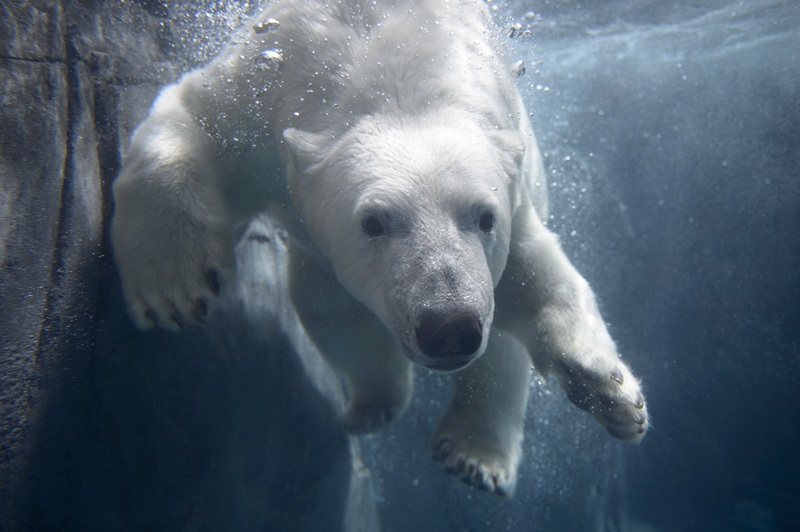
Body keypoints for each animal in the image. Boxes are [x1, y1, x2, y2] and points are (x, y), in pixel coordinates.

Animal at [112, 0, 648, 496]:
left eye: (484, 217)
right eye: (373, 222)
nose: (450, 326)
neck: (394, 63)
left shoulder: (511, 206)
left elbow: (539, 282)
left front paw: (614, 395)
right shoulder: (261, 94)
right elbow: (190, 119)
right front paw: (174, 288)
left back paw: (475, 458)